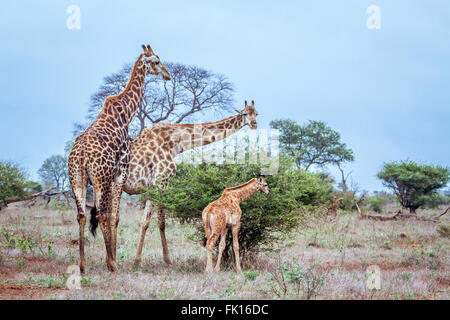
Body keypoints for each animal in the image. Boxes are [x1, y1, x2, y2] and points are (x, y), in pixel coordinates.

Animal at [68, 43, 171, 272]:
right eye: (157, 61)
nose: (168, 75)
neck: (126, 113)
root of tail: (81, 154)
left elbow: (112, 216)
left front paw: (111, 256)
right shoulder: (120, 172)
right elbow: (113, 216)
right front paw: (112, 258)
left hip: (77, 179)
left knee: (81, 215)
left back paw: (82, 265)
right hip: (100, 179)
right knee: (99, 214)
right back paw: (112, 264)